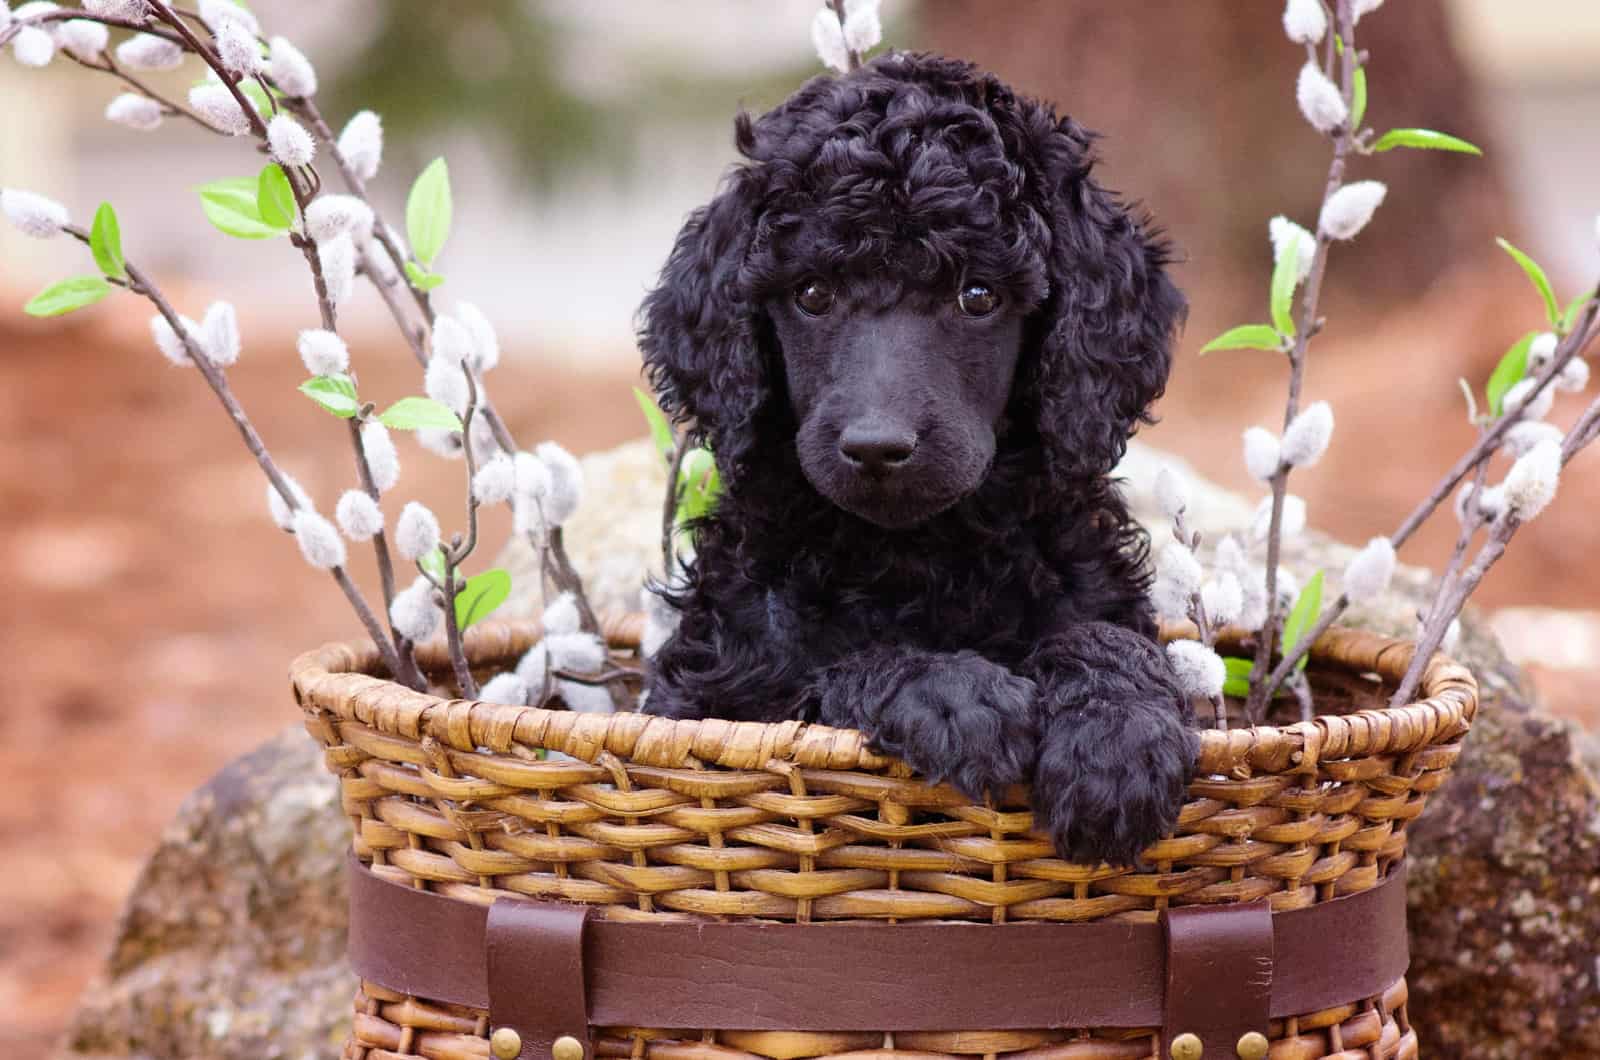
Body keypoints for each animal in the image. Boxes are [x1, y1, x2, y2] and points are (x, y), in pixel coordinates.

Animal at [630, 49, 1196, 871]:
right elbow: (824, 676)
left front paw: (1119, 744)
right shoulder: (711, 699)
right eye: (811, 293)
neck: (920, 553)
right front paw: (954, 694)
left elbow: (1107, 637)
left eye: (978, 296)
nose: (876, 446)